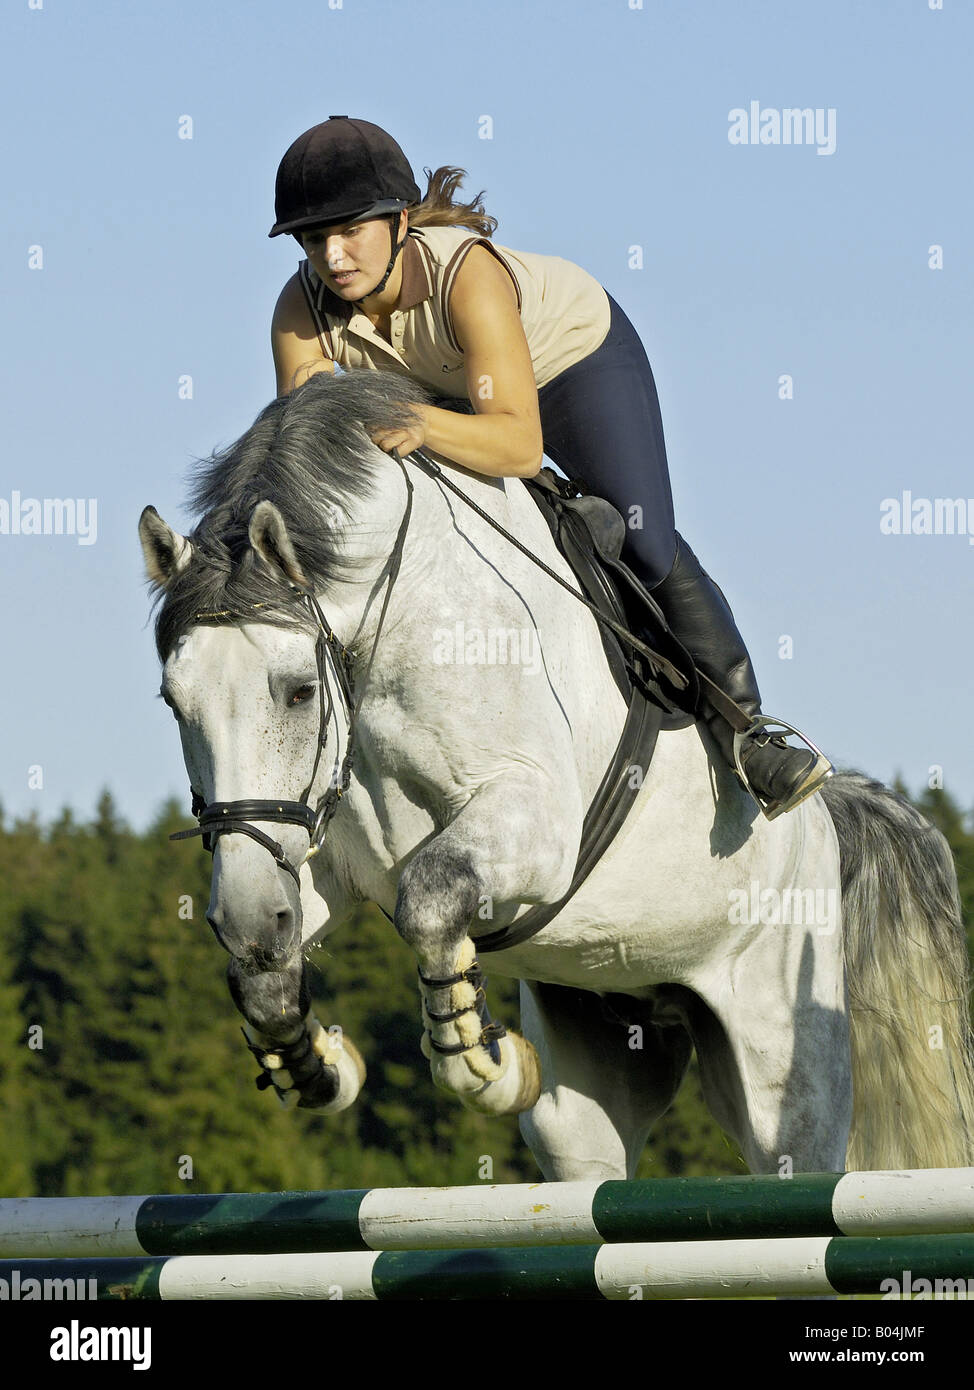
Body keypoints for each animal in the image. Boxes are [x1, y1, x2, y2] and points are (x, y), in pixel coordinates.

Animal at [139, 369, 974, 1181]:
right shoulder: (313, 851)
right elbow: (275, 957)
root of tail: (829, 825)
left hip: (784, 1062)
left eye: (298, 690)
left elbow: (429, 898)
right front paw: (310, 1056)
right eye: (172, 703)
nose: (254, 922)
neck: (393, 615)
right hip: (598, 1069)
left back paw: (775, 761)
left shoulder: (533, 825)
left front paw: (485, 1061)